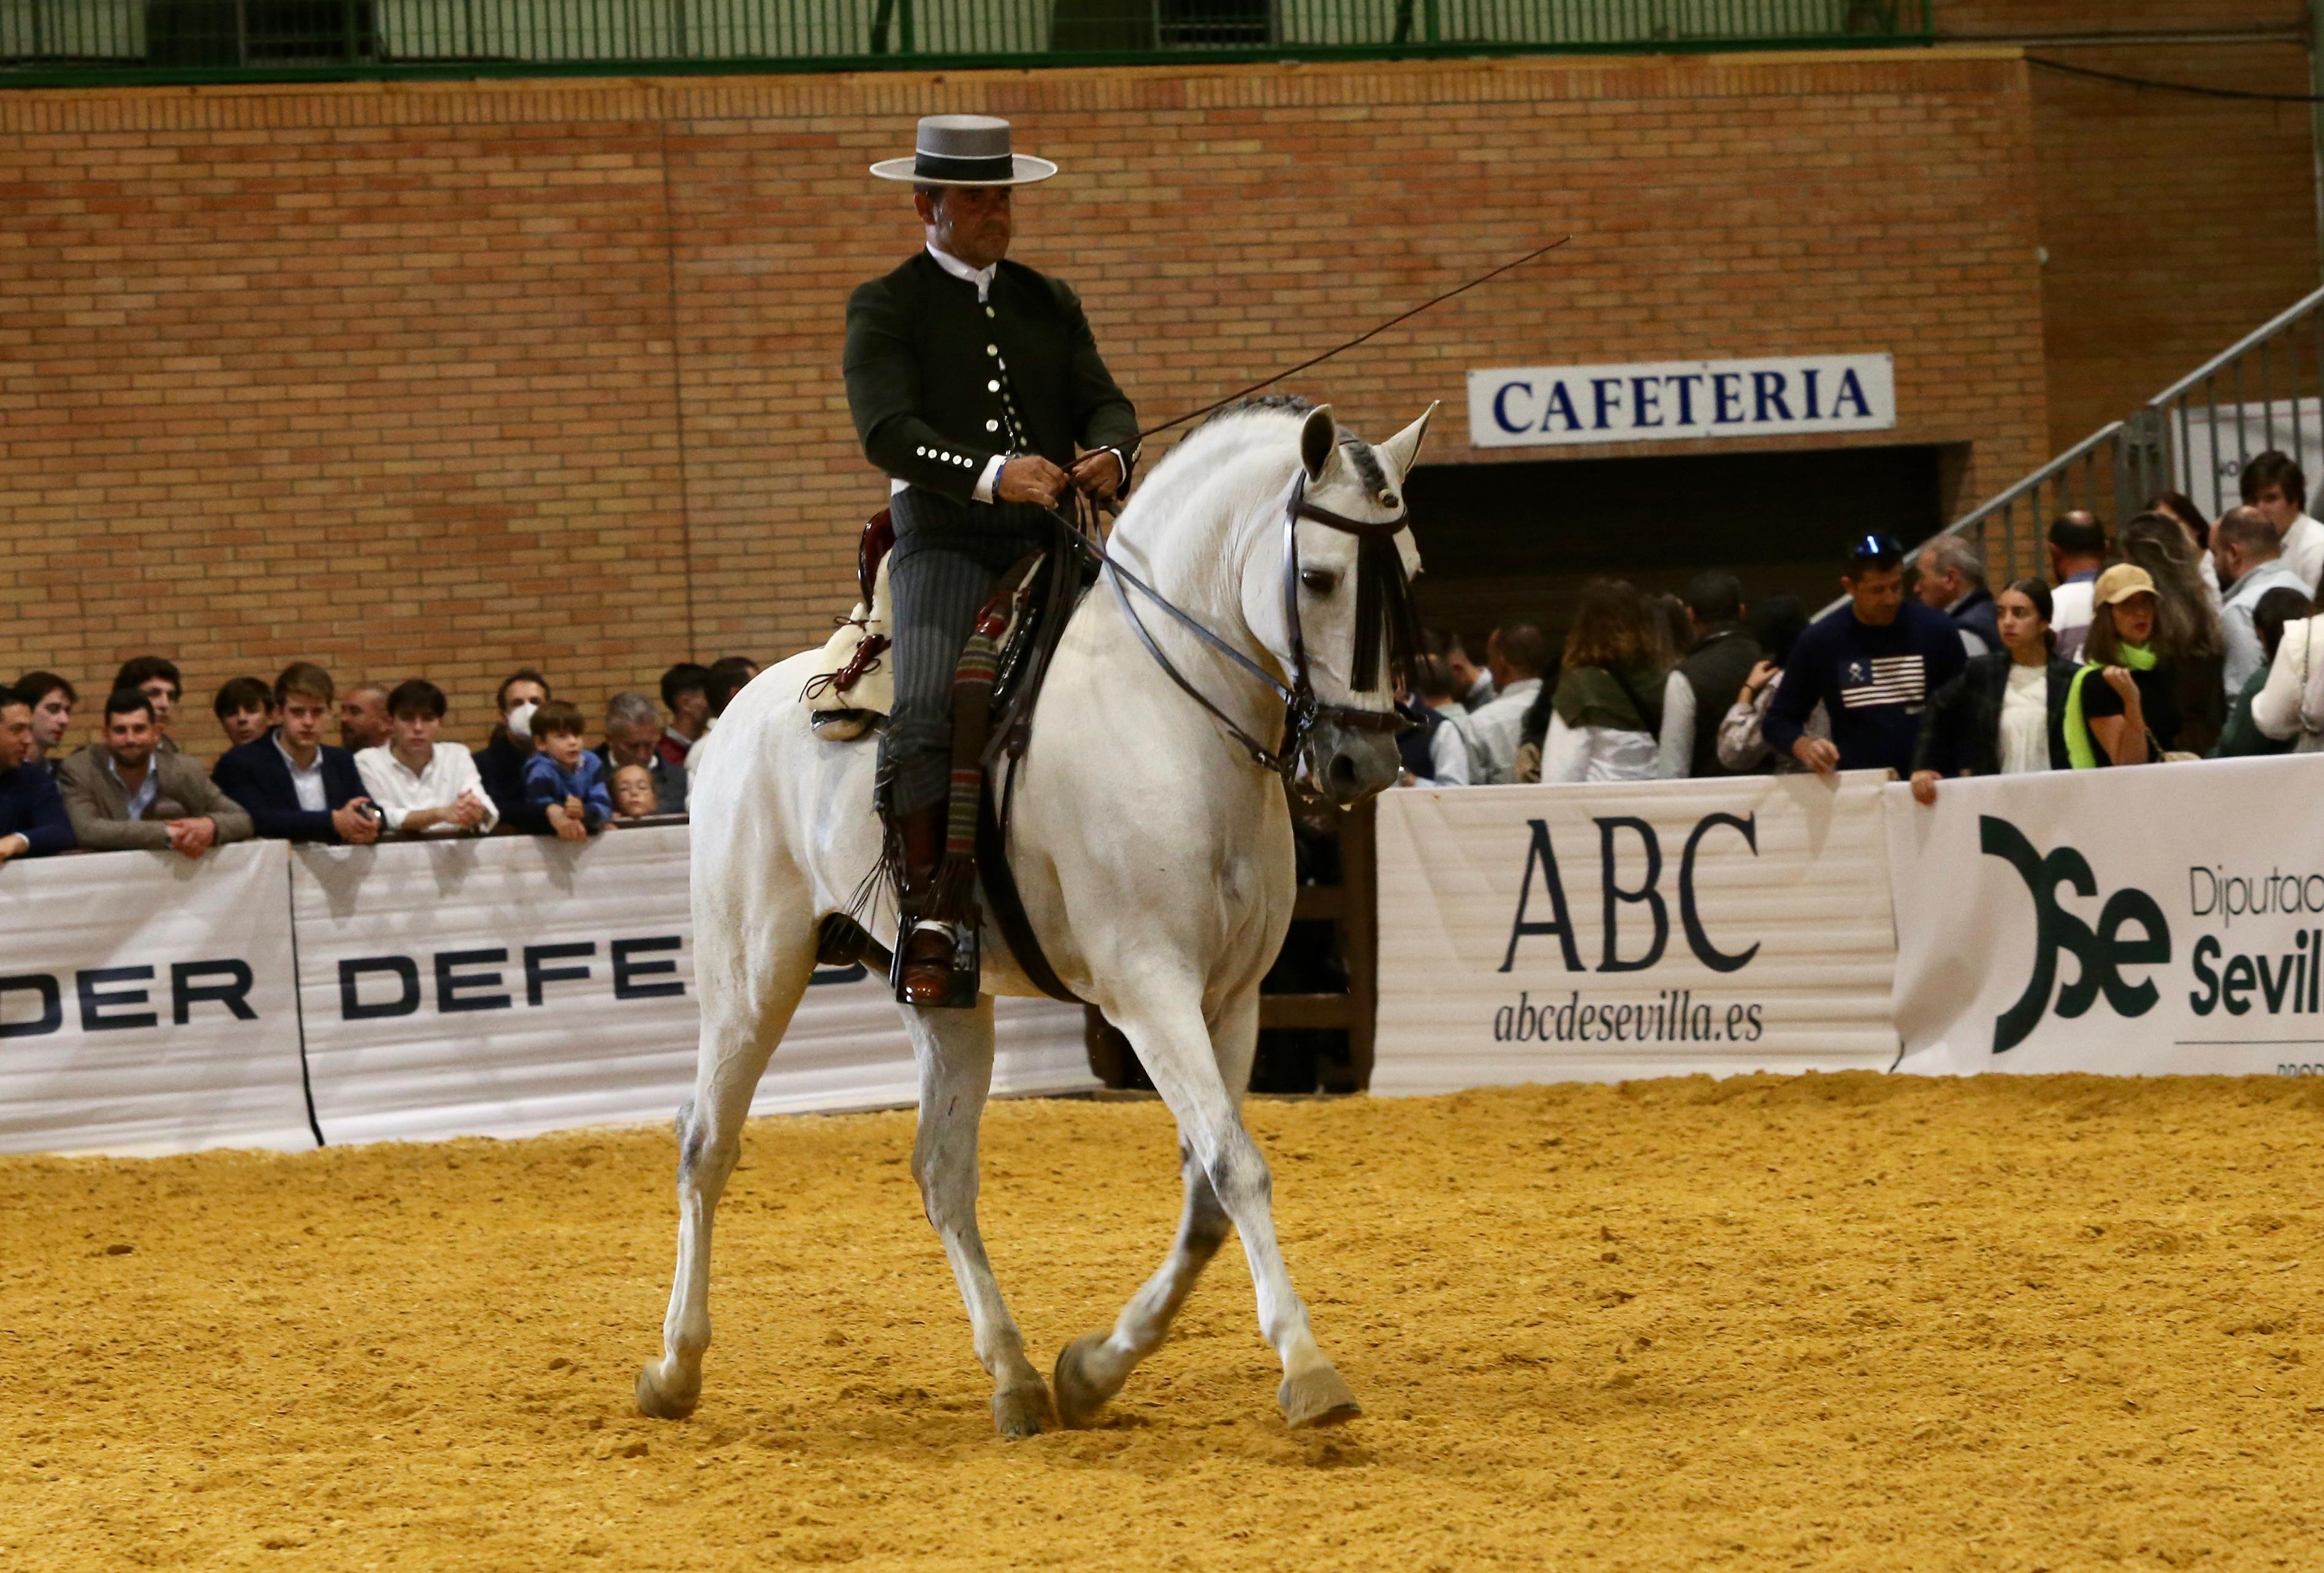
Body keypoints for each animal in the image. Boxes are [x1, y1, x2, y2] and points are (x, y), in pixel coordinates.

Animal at [641, 395, 1431, 1431]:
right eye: (1318, 576)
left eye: (1408, 571)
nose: (1361, 763)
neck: (1168, 717)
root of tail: (730, 721)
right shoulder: (1148, 993)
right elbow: (1235, 1167)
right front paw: (1307, 1367)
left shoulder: (1231, 1001)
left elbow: (1207, 1191)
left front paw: (1094, 1367)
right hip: (753, 974)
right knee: (705, 1143)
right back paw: (675, 1367)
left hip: (945, 998)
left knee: (941, 1173)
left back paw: (1013, 1373)